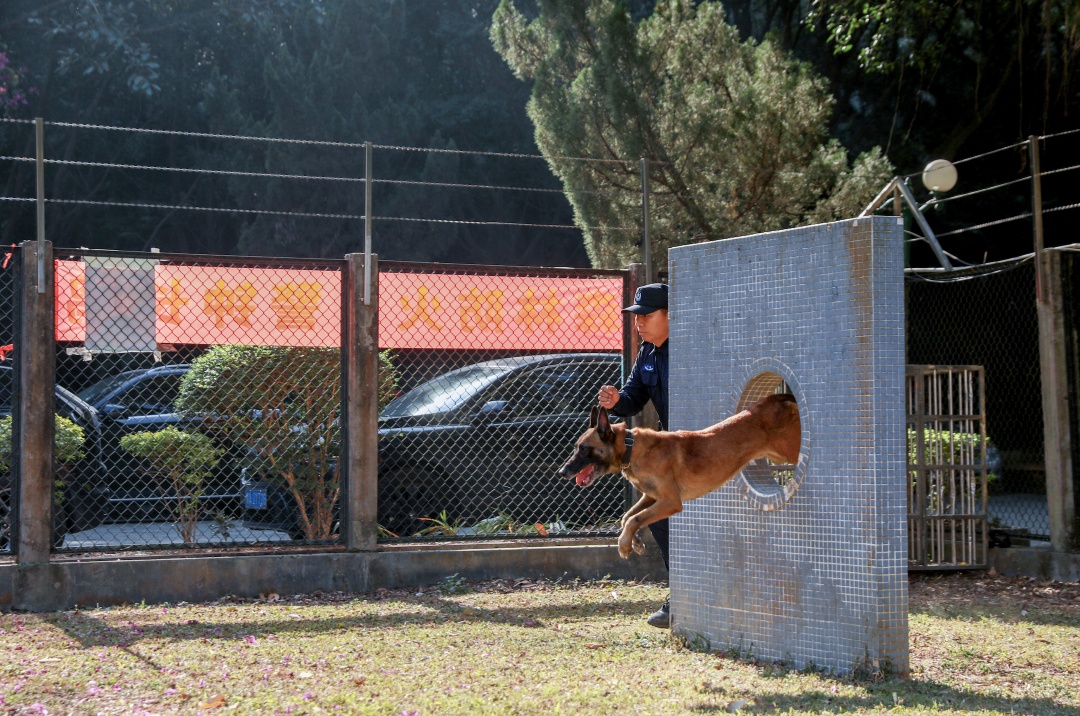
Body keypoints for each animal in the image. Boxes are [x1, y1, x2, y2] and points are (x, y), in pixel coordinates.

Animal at [557, 393, 803, 561]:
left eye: (583, 449)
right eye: (576, 448)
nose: (561, 472)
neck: (631, 448)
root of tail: (781, 397)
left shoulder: (670, 501)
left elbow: (635, 519)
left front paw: (624, 545)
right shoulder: (651, 497)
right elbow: (628, 517)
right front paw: (634, 542)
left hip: (791, 450)